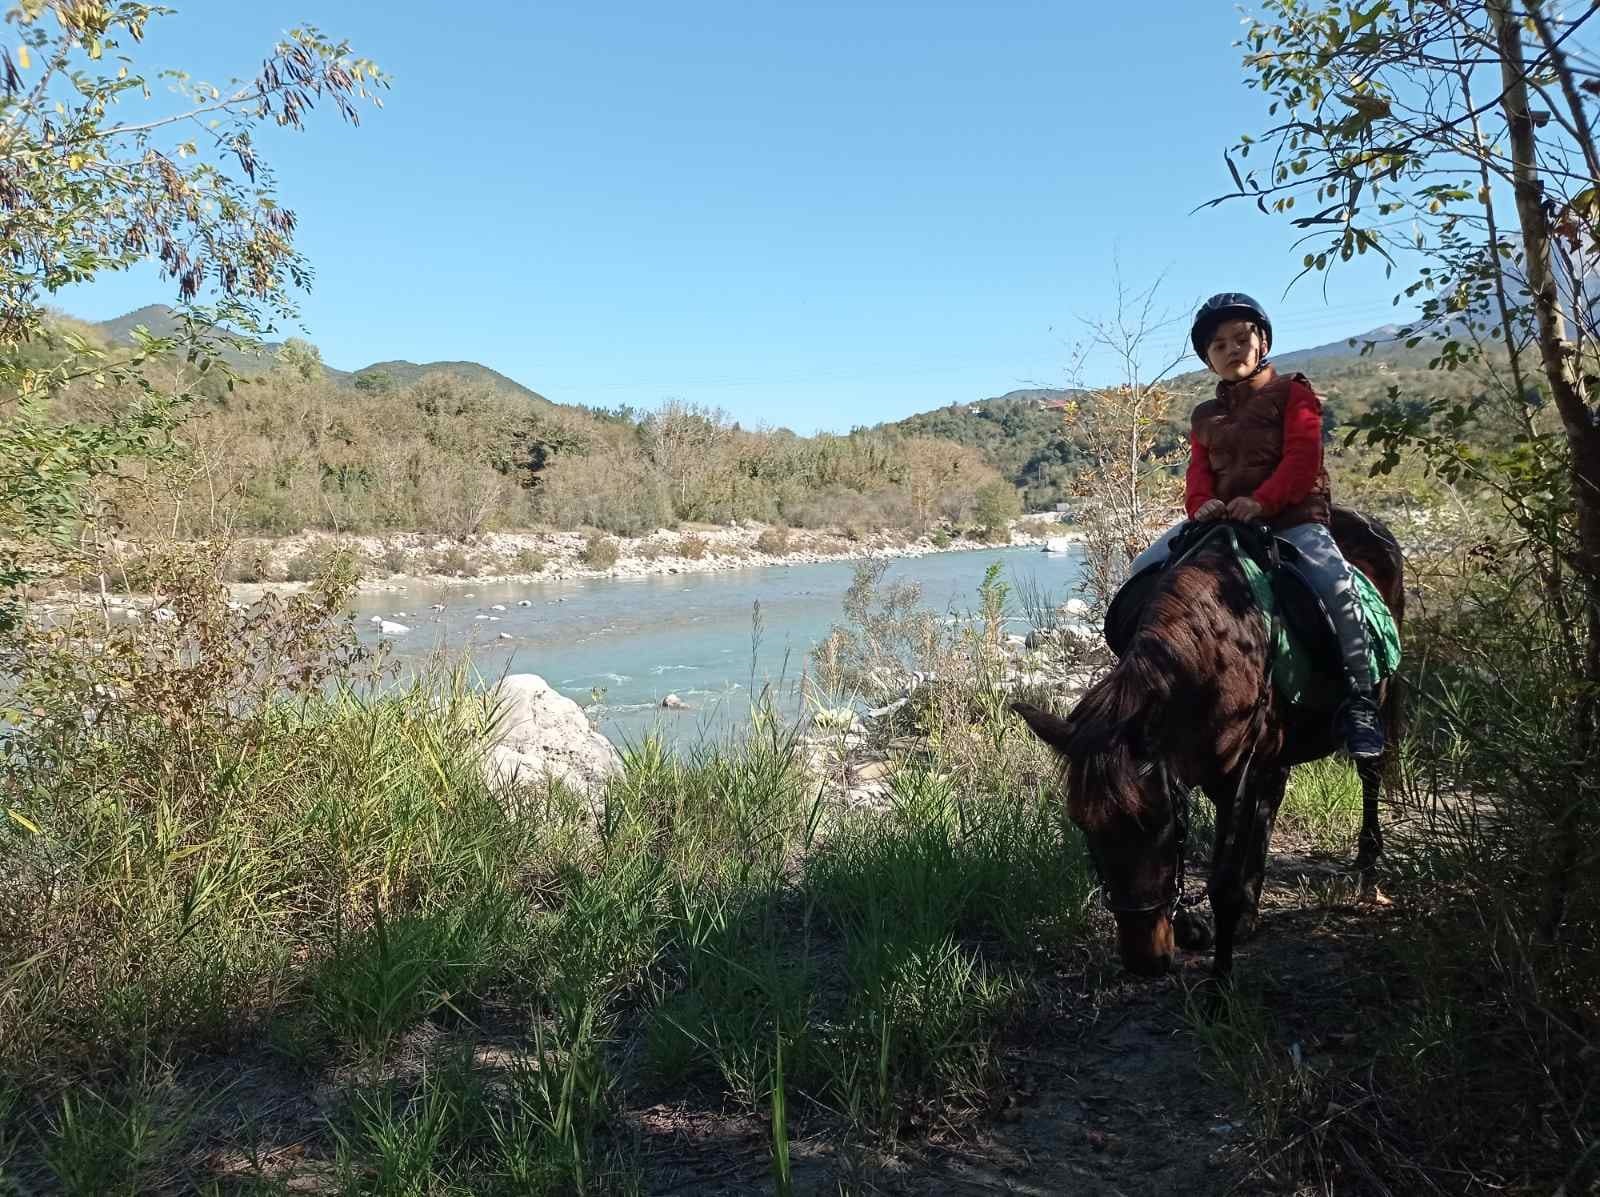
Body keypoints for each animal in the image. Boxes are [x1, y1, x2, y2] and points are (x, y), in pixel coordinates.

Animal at [1011, 508, 1401, 979]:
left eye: (1157, 822)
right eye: (1084, 825)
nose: (1144, 963)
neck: (1220, 654)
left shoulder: (1239, 775)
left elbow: (1223, 883)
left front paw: (1220, 982)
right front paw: (1194, 927)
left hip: (1380, 703)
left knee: (1370, 772)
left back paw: (1367, 869)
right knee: (1273, 799)